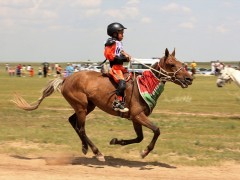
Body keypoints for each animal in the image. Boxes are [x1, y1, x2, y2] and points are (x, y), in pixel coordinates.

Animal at [11, 48, 193, 162]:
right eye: (172, 64)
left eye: (181, 63)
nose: (189, 78)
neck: (145, 85)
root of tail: (66, 78)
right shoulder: (138, 116)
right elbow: (156, 130)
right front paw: (145, 152)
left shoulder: (135, 118)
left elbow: (139, 137)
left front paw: (116, 141)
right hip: (81, 106)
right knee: (81, 128)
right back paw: (97, 152)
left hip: (88, 106)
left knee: (73, 122)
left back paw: (85, 147)